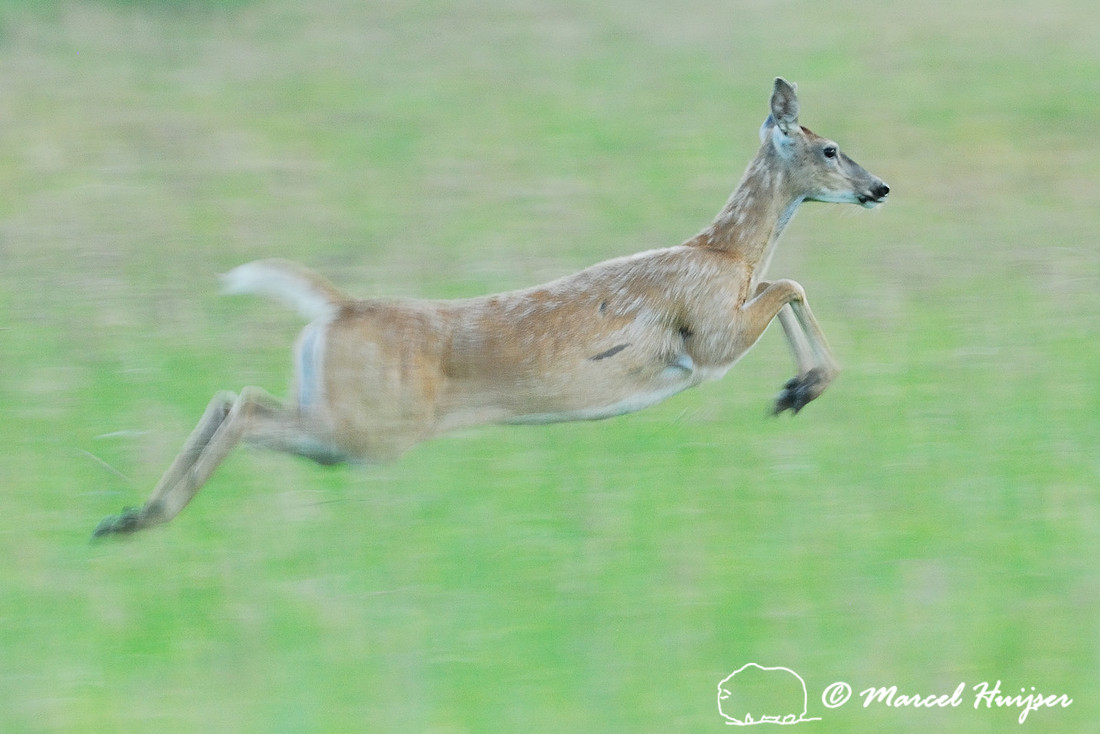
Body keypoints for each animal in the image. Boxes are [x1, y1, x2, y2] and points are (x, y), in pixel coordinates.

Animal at [93, 78, 889, 537]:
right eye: (829, 148)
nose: (879, 188)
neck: (726, 252)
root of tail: (337, 310)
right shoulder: (711, 337)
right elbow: (792, 286)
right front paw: (797, 390)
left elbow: (789, 288)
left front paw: (796, 388)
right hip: (370, 428)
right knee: (246, 407)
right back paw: (142, 518)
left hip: (340, 422)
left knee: (237, 398)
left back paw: (127, 517)